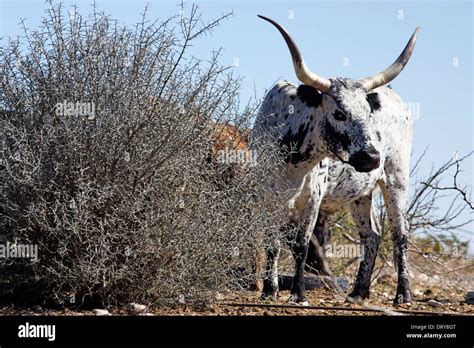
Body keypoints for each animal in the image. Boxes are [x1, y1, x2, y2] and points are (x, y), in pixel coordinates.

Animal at [250, 15, 420, 304]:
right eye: (340, 114)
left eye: (368, 113)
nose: (372, 157)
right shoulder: (266, 196)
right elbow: (272, 241)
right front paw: (269, 290)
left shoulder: (313, 196)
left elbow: (301, 244)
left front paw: (298, 294)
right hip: (361, 193)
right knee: (371, 235)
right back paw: (358, 292)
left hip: (396, 178)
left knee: (401, 233)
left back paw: (403, 294)